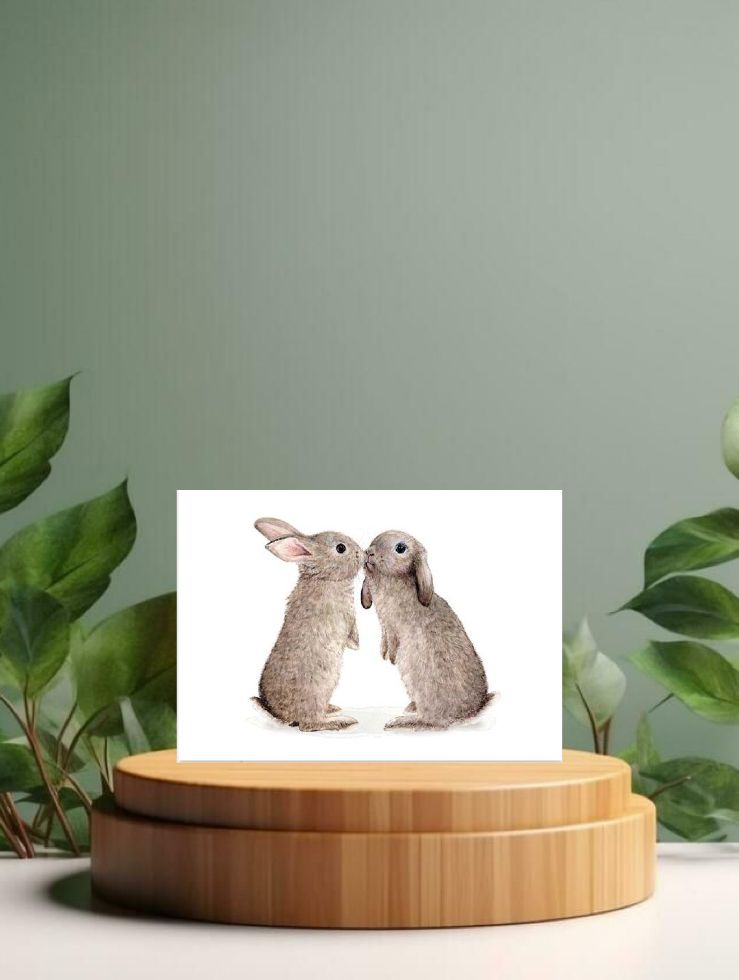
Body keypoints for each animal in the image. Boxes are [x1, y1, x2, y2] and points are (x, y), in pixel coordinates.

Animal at [252, 517, 363, 732]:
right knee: (309, 725)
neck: (324, 577)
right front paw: (356, 644)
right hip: (317, 691)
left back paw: (333, 709)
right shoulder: (346, 615)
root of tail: (282, 716)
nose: (362, 554)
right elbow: (352, 633)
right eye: (340, 548)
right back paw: (342, 721)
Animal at [361, 530, 495, 730]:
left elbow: (392, 638)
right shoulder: (384, 624)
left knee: (433, 720)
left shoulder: (392, 624)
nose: (369, 552)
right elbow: (385, 637)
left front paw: (391, 656)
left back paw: (400, 721)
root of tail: (471, 710)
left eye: (401, 548)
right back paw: (410, 708)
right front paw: (383, 653)